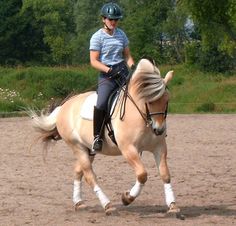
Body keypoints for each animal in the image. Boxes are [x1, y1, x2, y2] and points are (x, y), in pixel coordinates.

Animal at [30, 57, 180, 215]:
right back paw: (107, 205)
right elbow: (142, 175)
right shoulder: (128, 149)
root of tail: (64, 107)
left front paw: (172, 205)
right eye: (149, 101)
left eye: (167, 100)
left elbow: (165, 174)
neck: (141, 115)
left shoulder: (159, 147)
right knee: (89, 176)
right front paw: (127, 198)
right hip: (77, 147)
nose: (159, 130)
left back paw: (79, 202)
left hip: (88, 150)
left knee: (78, 171)